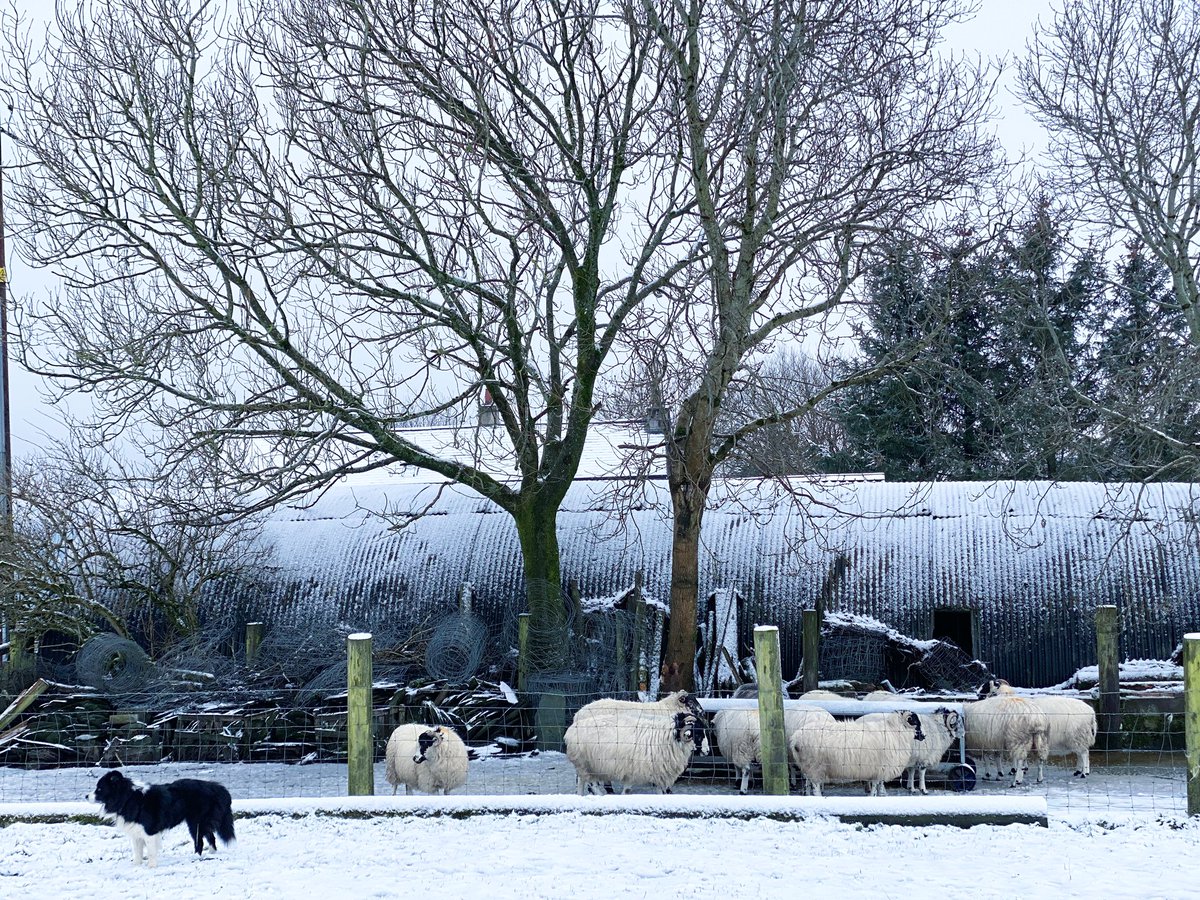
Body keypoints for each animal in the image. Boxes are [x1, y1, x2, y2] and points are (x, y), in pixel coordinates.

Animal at [564, 710, 705, 796]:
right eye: (697, 732)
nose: (706, 751)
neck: (668, 736)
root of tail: (571, 730)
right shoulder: (633, 769)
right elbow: (627, 790)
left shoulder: (658, 772)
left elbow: (660, 790)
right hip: (586, 763)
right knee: (591, 783)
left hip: (587, 765)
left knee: (581, 781)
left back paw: (580, 795)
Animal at [787, 710, 926, 796]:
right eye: (915, 722)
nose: (924, 736)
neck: (895, 732)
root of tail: (796, 738)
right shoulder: (879, 768)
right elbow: (875, 786)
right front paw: (873, 796)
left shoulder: (877, 769)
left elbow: (876, 785)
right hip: (815, 766)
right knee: (815, 785)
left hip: (808, 766)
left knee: (807, 782)